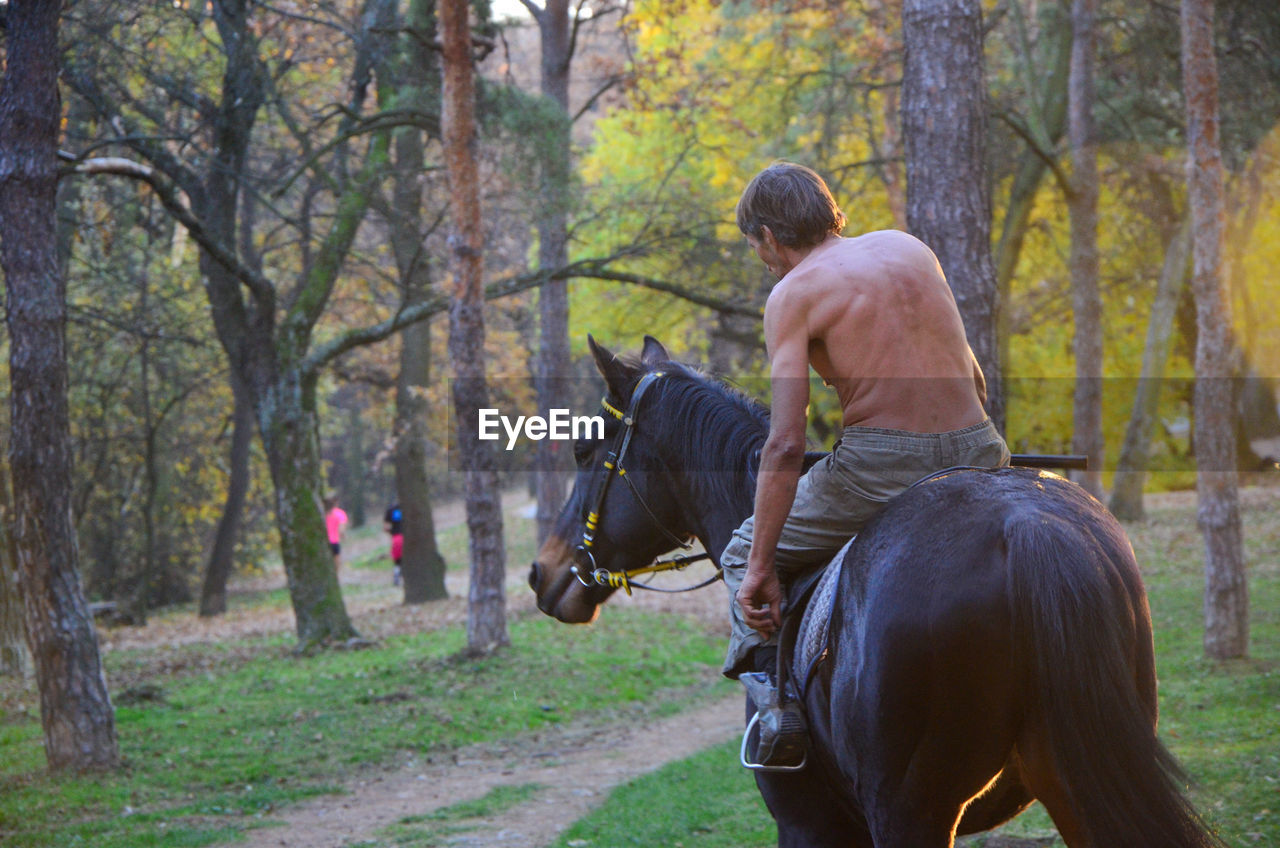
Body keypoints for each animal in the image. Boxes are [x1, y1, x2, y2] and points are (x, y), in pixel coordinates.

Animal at [527, 340, 1218, 848]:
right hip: (1074, 779)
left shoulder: (808, 822)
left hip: (911, 811)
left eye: (585, 449)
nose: (541, 572)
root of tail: (1028, 529)